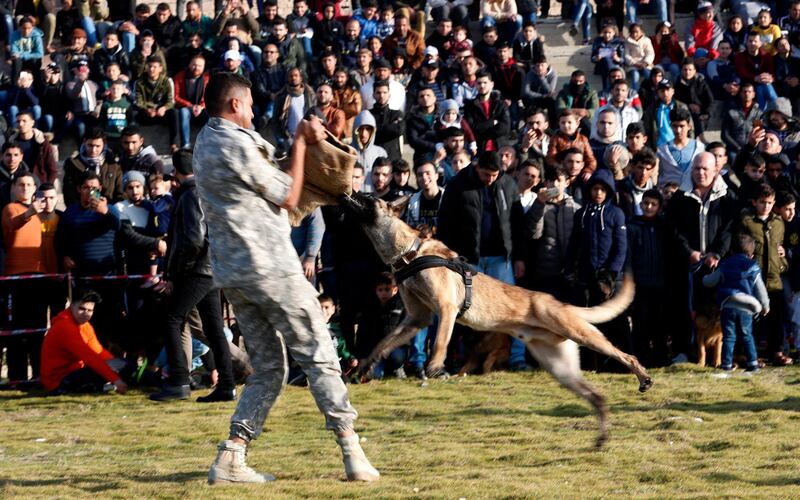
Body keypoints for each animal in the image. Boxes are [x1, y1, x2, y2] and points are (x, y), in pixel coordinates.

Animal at [342, 193, 648, 448]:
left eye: (369, 197)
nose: (349, 191)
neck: (409, 251)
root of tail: (560, 303)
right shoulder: (417, 319)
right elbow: (382, 344)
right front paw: (365, 367)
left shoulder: (446, 309)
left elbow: (439, 342)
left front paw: (436, 368)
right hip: (561, 368)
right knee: (597, 397)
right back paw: (601, 438)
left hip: (578, 332)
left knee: (625, 355)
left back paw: (643, 377)